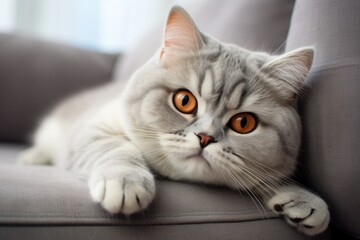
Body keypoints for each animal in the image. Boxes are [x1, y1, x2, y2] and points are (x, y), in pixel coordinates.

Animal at [19, 5, 330, 236]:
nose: (205, 138)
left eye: (244, 123)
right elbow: (117, 148)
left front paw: (305, 200)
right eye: (184, 101)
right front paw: (125, 181)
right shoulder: (93, 128)